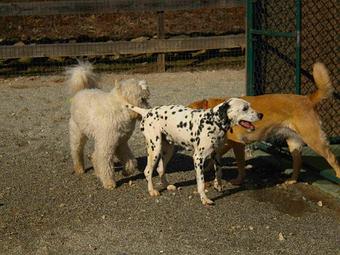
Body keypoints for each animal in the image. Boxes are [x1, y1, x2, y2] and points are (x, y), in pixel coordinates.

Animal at [189, 62, 340, 184]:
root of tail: (307, 99)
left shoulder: (238, 145)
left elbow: (240, 165)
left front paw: (238, 180)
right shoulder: (227, 144)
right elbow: (215, 155)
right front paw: (207, 168)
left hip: (314, 140)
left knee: (332, 158)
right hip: (294, 143)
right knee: (298, 163)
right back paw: (292, 180)